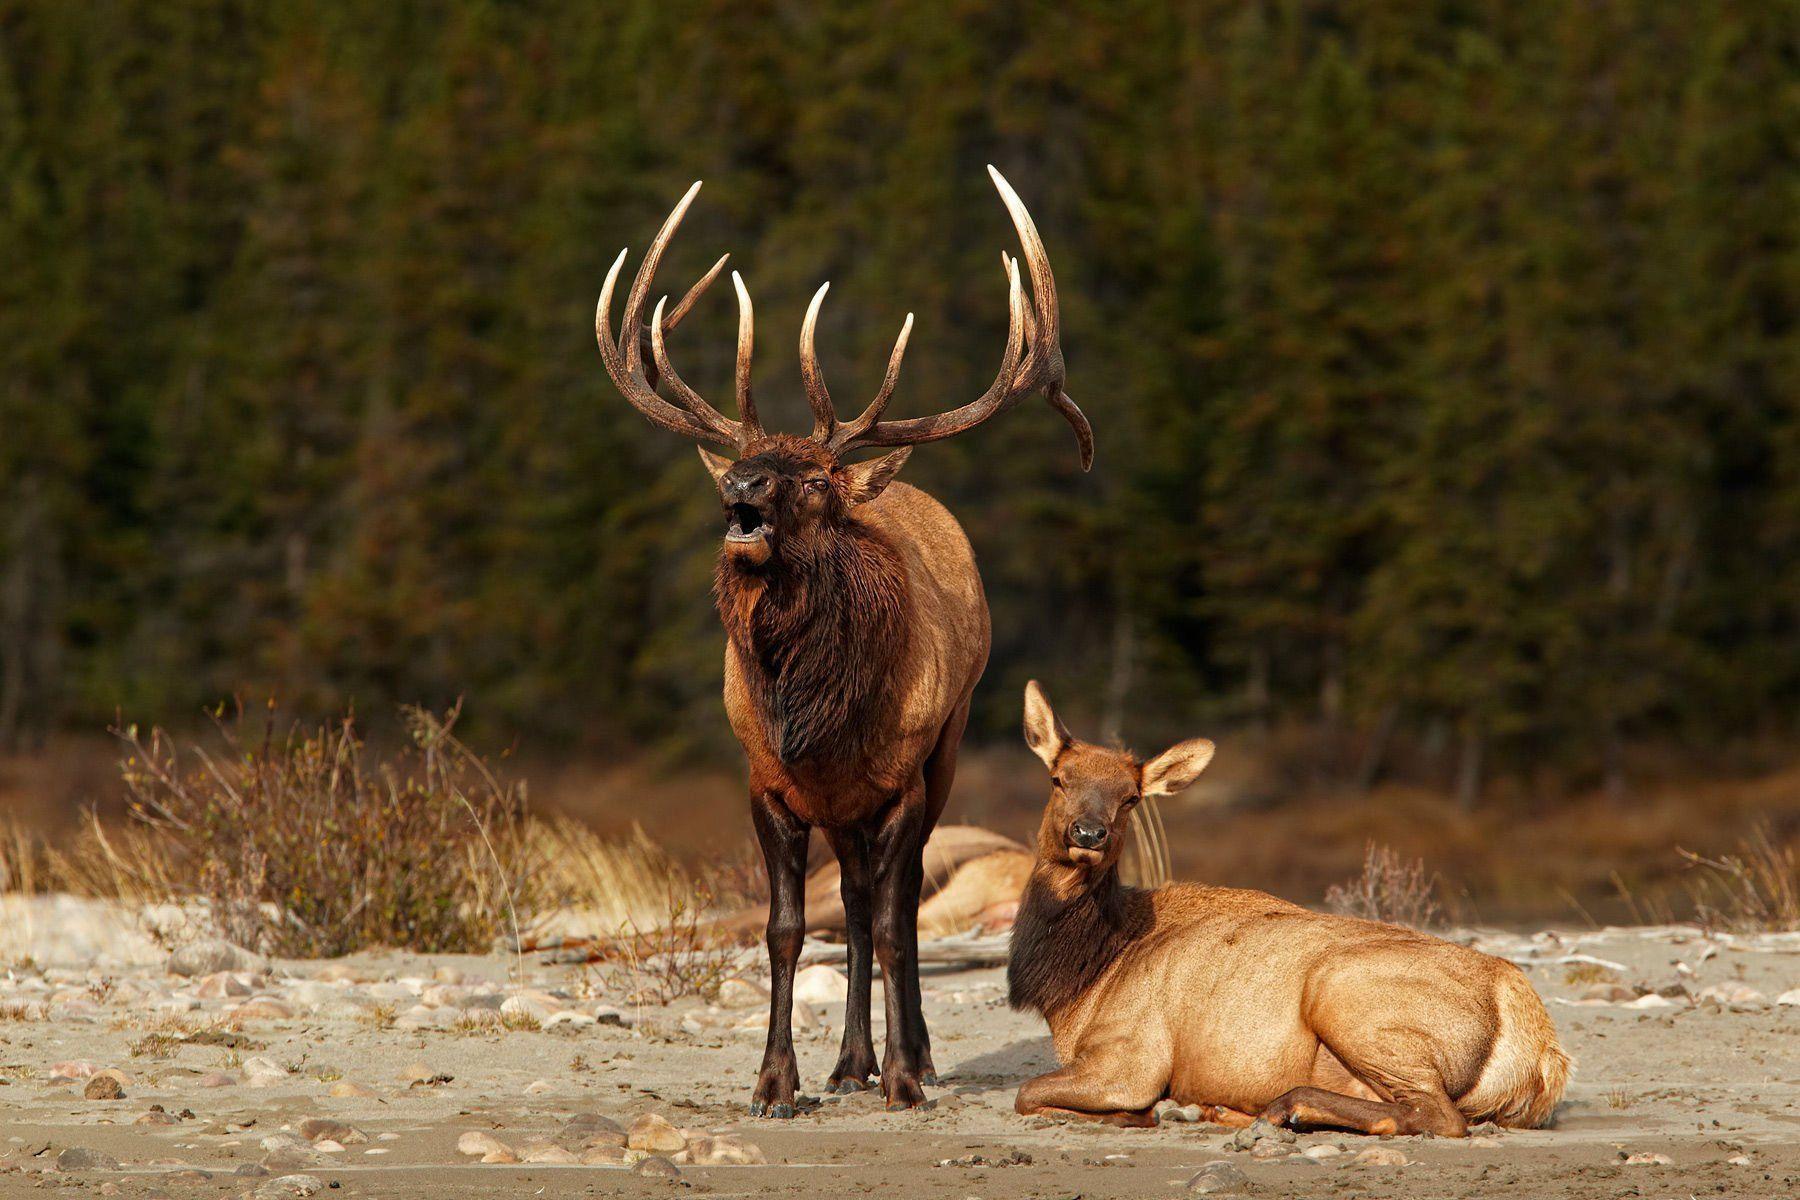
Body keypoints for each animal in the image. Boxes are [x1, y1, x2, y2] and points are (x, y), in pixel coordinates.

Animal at [593, 169, 1091, 1115]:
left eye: (818, 481)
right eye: (749, 464)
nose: (743, 486)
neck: (814, 719)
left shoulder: (900, 780)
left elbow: (899, 928)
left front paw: (905, 1076)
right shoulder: (768, 782)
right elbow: (786, 931)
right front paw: (775, 1082)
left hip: (946, 751)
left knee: (893, 906)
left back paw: (908, 1059)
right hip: (847, 810)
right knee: (855, 904)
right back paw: (849, 1059)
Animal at [1007, 681, 1570, 1135]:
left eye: (1130, 797)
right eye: (1058, 778)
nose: (1088, 833)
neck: (1080, 982)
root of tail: (1540, 1051)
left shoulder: (1130, 1057)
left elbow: (1027, 1094)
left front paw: (1139, 1113)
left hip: (1345, 995)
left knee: (1435, 1115)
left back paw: (1280, 1108)